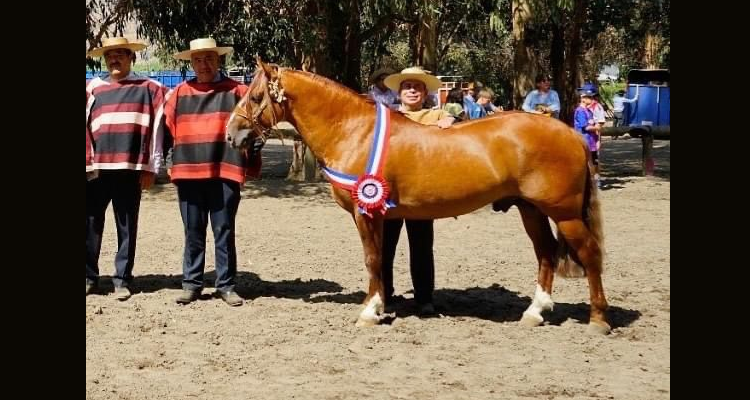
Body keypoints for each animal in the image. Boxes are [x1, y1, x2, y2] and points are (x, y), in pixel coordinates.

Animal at [228, 58, 612, 334]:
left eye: (256, 96)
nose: (233, 133)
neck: (354, 131)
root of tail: (570, 133)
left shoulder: (365, 213)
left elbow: (372, 259)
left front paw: (369, 312)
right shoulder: (381, 215)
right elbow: (380, 260)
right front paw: (381, 305)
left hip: (565, 214)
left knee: (589, 254)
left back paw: (598, 320)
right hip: (530, 209)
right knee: (545, 253)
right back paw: (535, 312)